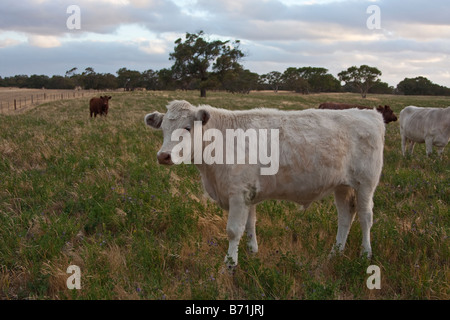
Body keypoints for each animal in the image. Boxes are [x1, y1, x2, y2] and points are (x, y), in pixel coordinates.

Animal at [144, 100, 384, 268]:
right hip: (342, 186)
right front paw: (252, 254)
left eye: (187, 128)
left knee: (365, 217)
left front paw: (229, 264)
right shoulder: (248, 194)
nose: (163, 156)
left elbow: (233, 231)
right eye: (163, 128)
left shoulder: (238, 194)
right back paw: (335, 253)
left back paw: (365, 254)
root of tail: (369, 113)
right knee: (345, 216)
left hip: (365, 184)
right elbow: (250, 226)